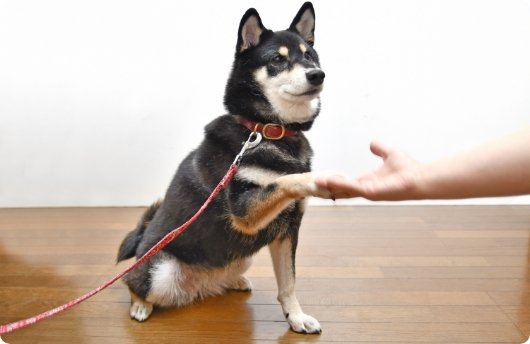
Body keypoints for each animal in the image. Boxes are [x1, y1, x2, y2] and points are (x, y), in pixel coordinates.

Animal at [117, 1, 328, 334]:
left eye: (309, 55)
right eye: (277, 60)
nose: (317, 75)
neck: (265, 130)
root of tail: (199, 286)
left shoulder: (288, 228)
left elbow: (289, 284)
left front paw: (296, 317)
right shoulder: (245, 211)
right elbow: (286, 180)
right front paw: (325, 178)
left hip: (240, 258)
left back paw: (233, 281)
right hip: (160, 271)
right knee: (131, 282)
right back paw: (140, 305)